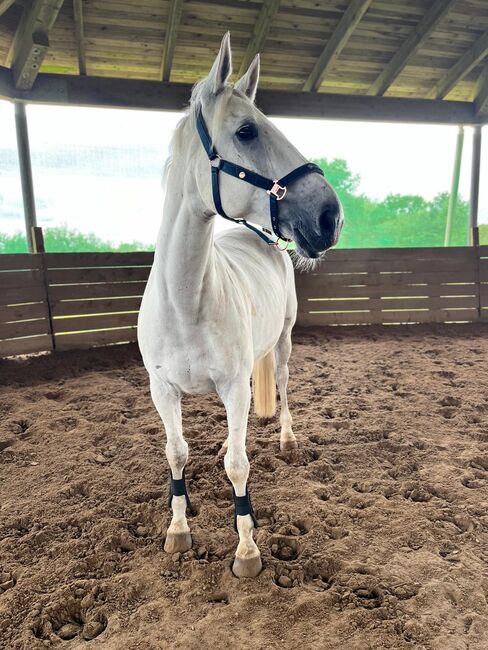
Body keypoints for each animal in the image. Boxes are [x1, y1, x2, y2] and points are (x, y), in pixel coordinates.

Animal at [137, 33, 344, 576]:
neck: (186, 301)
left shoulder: (233, 388)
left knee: (285, 384)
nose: (330, 216)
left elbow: (237, 464)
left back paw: (288, 439)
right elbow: (176, 453)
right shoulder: (162, 391)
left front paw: (247, 550)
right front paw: (179, 528)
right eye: (247, 131)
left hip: (284, 341)